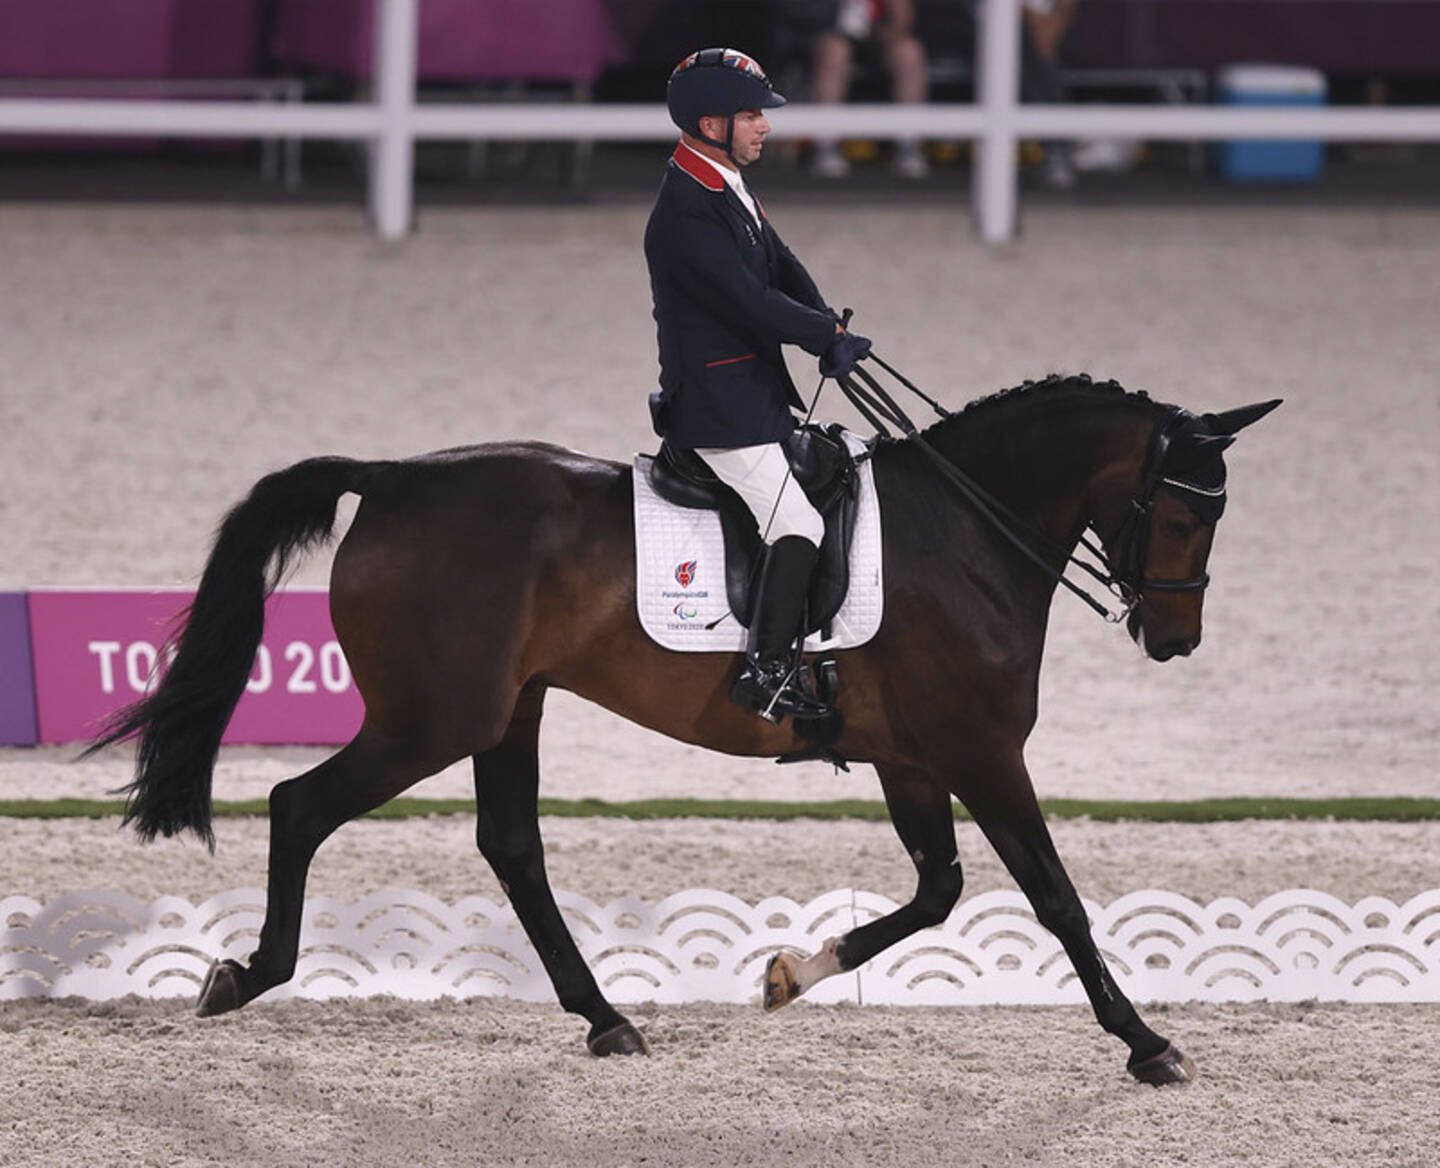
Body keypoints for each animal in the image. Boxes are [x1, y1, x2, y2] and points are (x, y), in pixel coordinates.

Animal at [95, 374, 1278, 1088]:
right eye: (1184, 514)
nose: (1177, 639)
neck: (966, 529)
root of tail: (391, 480)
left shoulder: (912, 757)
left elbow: (939, 891)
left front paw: (793, 971)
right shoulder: (984, 754)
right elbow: (1058, 900)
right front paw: (1148, 1043)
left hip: (507, 711)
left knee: (511, 849)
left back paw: (604, 1017)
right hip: (431, 720)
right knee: (301, 805)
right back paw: (247, 973)